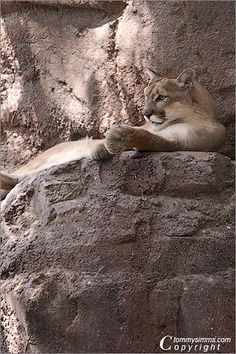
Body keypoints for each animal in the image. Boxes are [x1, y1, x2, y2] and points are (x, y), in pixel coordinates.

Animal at [0, 68, 227, 199]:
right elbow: (142, 130)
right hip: (44, 159)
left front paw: (114, 139)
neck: (194, 115)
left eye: (161, 97)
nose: (145, 114)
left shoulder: (180, 141)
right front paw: (103, 145)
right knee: (23, 174)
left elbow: (147, 136)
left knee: (22, 179)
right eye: (146, 96)